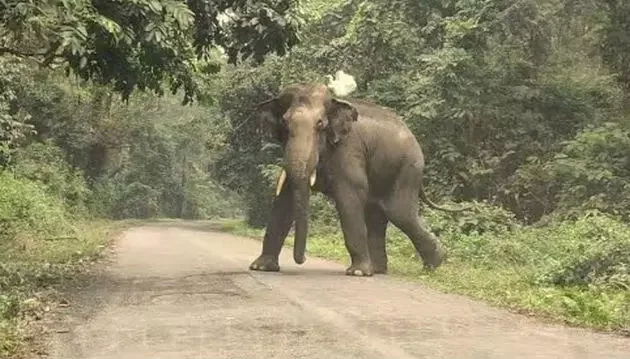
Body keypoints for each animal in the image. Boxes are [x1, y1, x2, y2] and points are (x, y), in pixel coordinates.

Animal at [249, 82, 466, 278]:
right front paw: (261, 267)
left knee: (400, 213)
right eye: (285, 123)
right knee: (377, 214)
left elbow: (349, 197)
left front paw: (358, 272)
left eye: (320, 124)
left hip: (407, 169)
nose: (301, 260)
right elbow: (284, 199)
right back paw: (379, 269)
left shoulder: (348, 150)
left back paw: (434, 264)